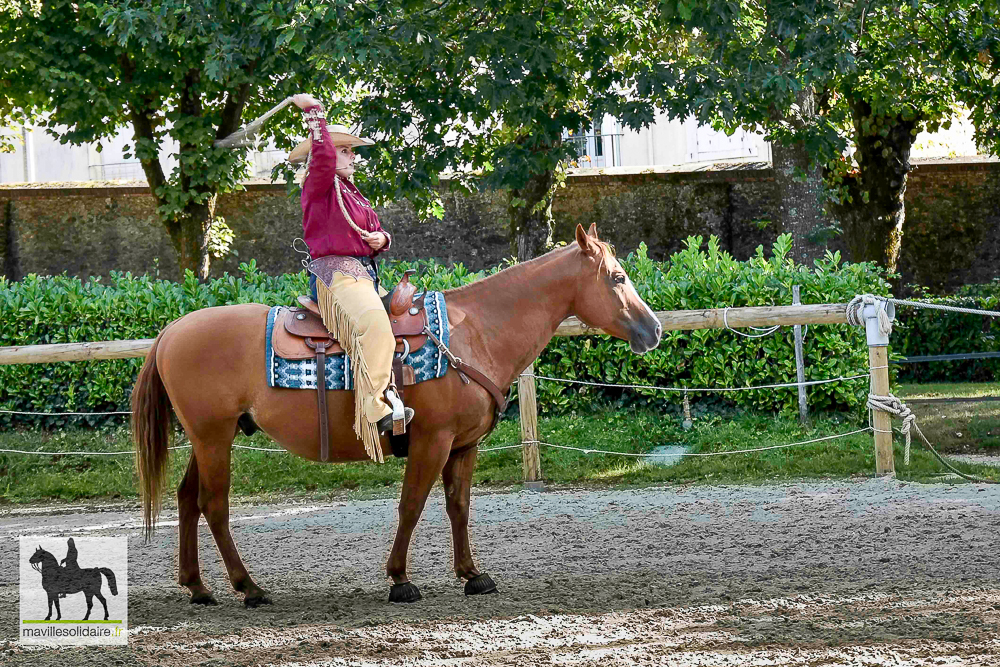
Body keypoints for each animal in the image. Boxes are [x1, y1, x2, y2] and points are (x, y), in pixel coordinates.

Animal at [133, 223, 664, 604]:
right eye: (617, 277)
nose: (655, 329)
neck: (473, 333)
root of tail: (171, 330)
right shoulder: (432, 440)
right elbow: (411, 505)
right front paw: (400, 579)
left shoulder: (464, 446)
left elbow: (458, 507)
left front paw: (472, 574)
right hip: (214, 437)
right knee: (214, 506)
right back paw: (249, 587)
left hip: (206, 439)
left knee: (186, 500)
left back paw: (199, 588)